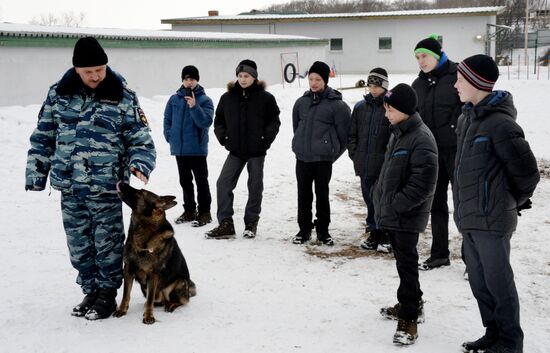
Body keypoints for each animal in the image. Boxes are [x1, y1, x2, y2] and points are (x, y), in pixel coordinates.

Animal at [113, 183, 197, 324]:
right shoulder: (128, 270)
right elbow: (126, 294)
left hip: (180, 283)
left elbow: (150, 299)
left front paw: (148, 316)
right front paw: (122, 310)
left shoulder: (153, 275)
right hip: (145, 288)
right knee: (157, 301)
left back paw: (171, 305)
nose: (121, 181)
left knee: (181, 301)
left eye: (141, 192)